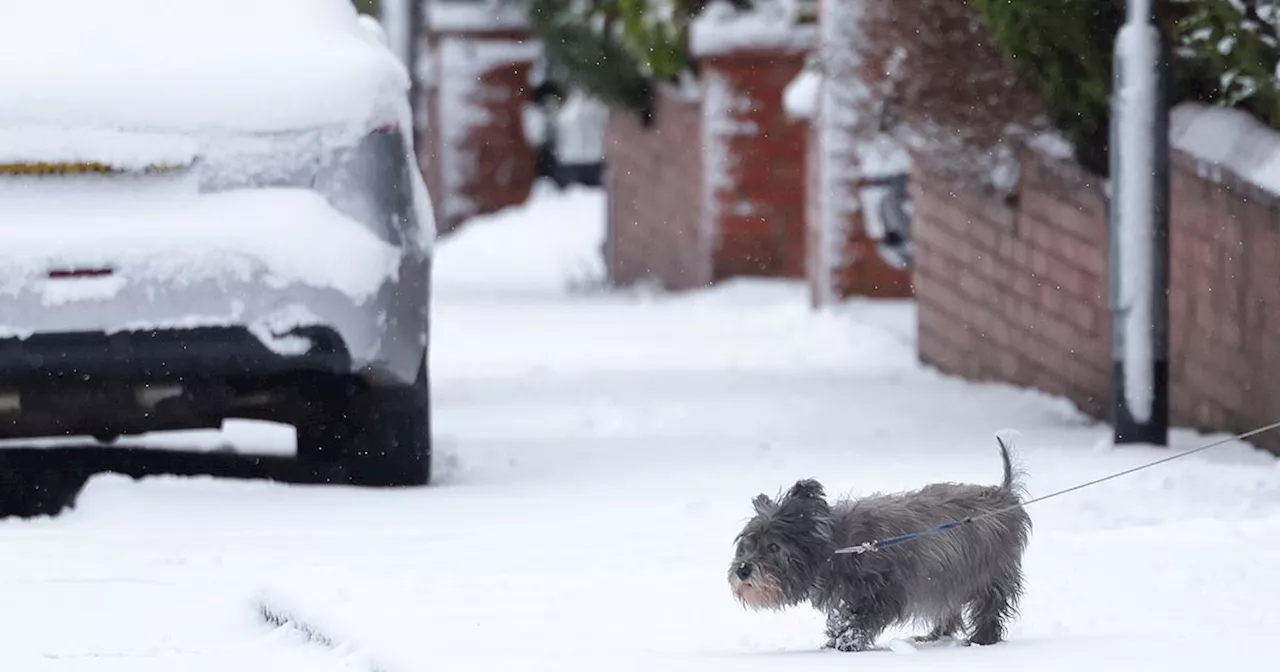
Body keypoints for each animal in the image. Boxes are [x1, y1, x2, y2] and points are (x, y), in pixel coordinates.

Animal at [732, 440, 1029, 650]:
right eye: (747, 544)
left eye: (773, 547)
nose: (742, 570)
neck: (840, 546)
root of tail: (1005, 494)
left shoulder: (884, 591)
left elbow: (860, 618)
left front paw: (846, 642)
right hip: (949, 578)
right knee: (950, 610)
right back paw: (934, 636)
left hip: (988, 575)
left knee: (989, 609)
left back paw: (981, 640)